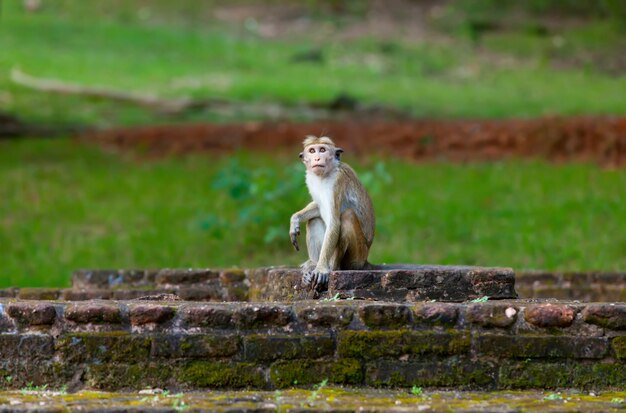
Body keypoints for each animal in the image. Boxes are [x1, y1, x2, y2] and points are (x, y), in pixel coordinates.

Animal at [288, 135, 372, 290]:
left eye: (322, 150)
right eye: (312, 151)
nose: (317, 158)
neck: (325, 174)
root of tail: (365, 261)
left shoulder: (337, 182)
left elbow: (334, 223)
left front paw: (321, 269)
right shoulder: (310, 180)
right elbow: (318, 206)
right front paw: (295, 220)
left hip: (357, 257)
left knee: (347, 217)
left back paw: (331, 267)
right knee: (314, 220)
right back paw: (312, 264)